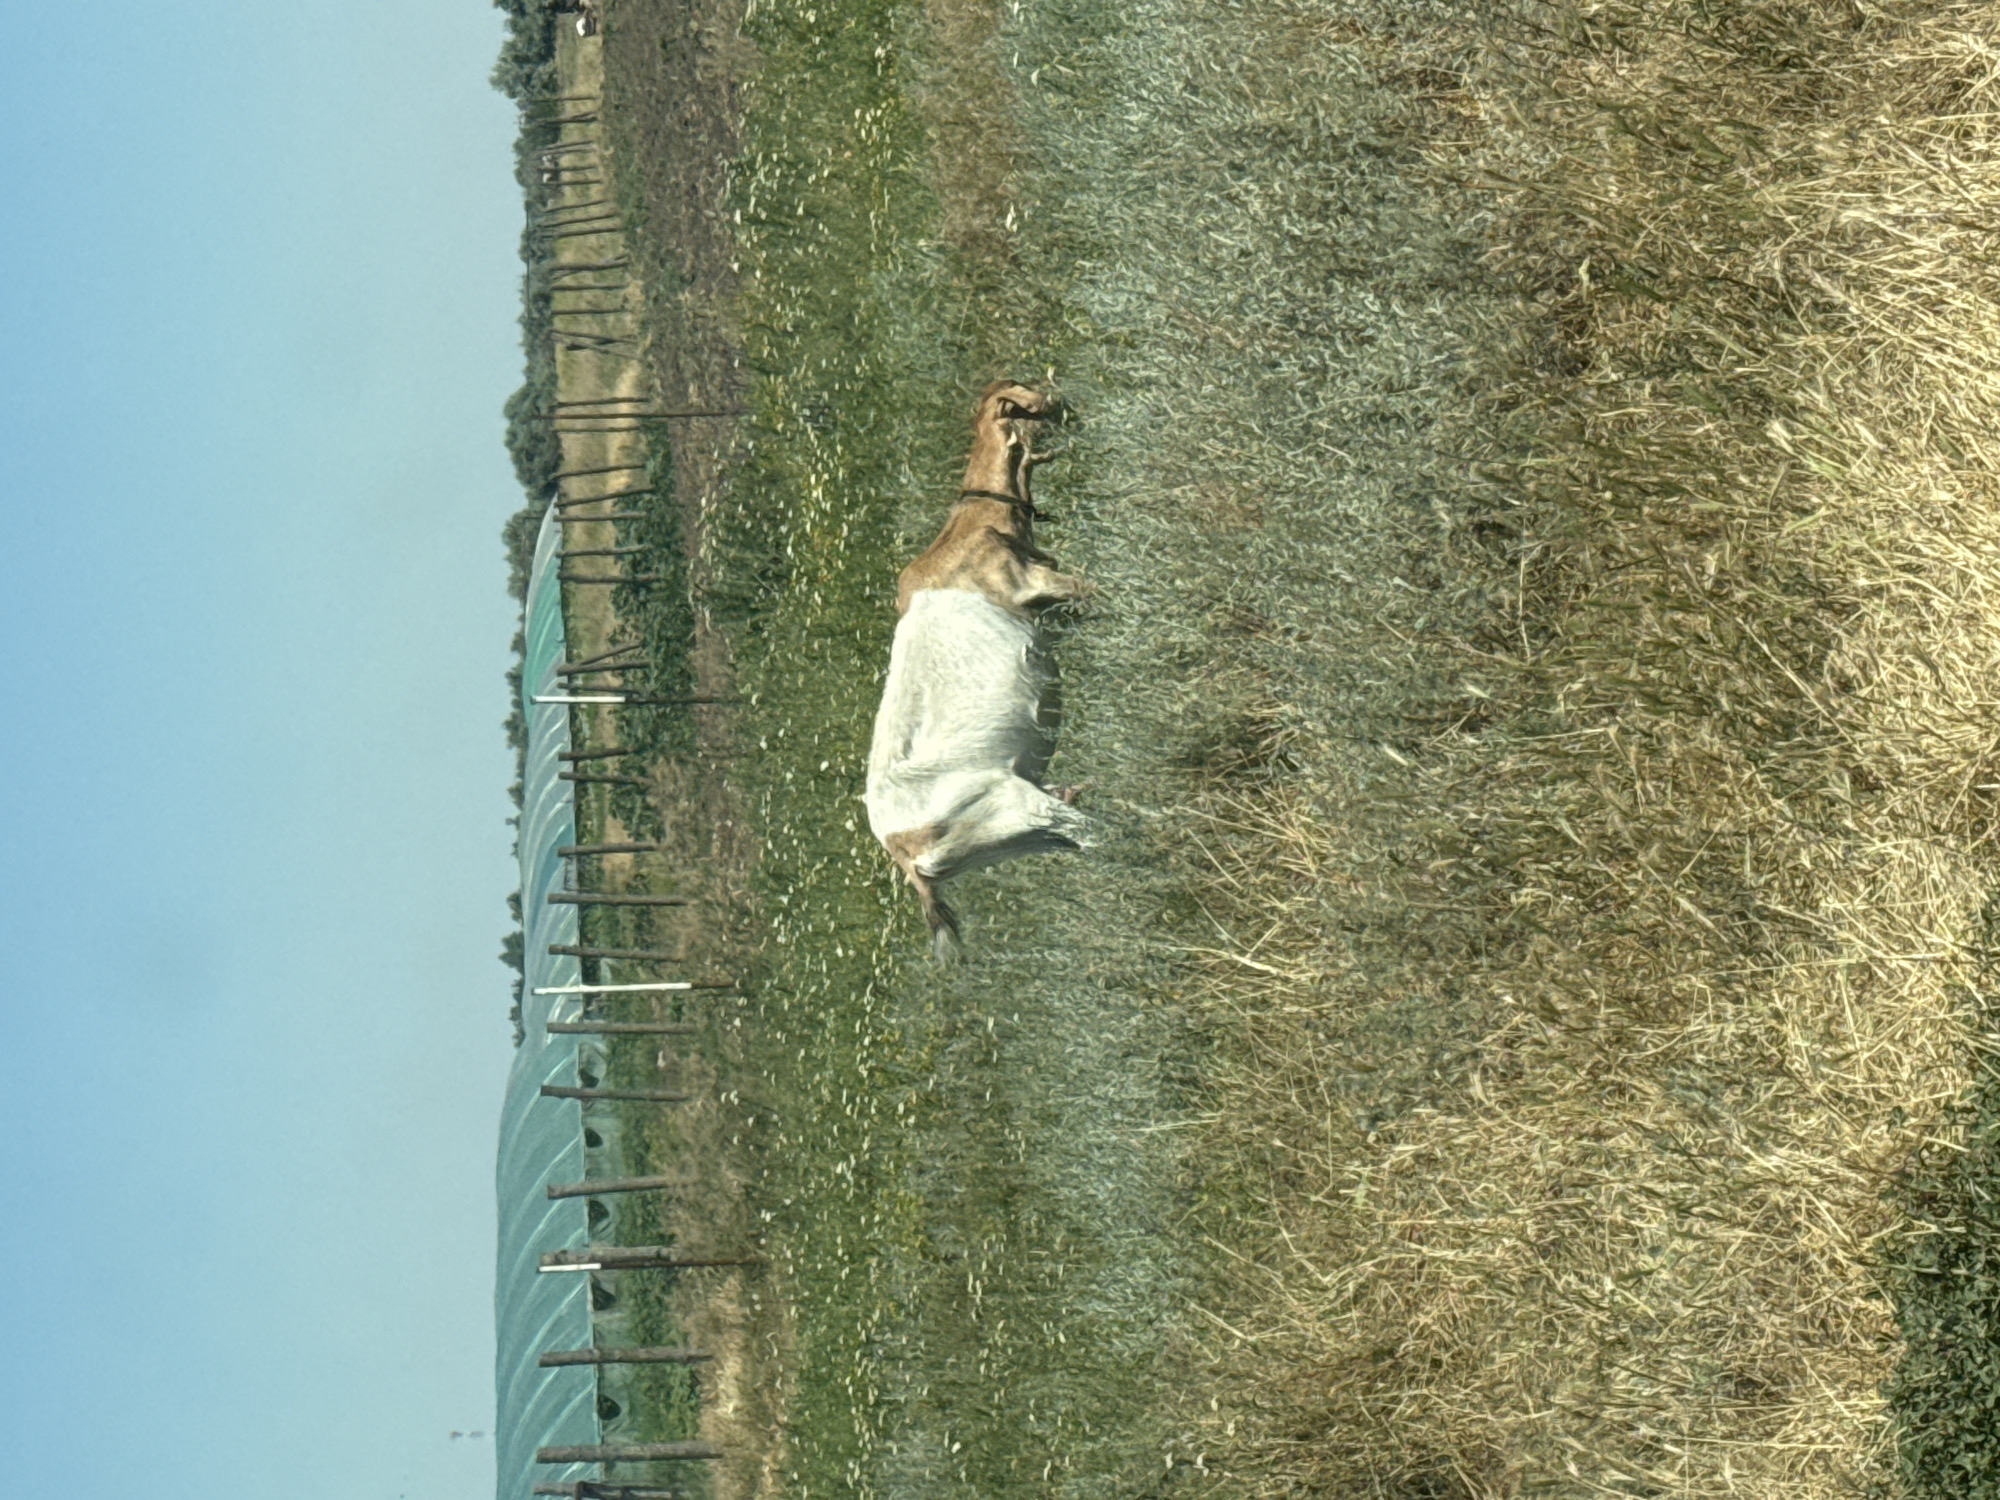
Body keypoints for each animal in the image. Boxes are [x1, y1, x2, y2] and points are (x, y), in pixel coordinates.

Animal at [865, 381, 1090, 957]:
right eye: (1032, 406)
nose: (1069, 406)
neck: (970, 531)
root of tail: (907, 856)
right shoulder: (1038, 586)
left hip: (1016, 837)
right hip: (1016, 811)